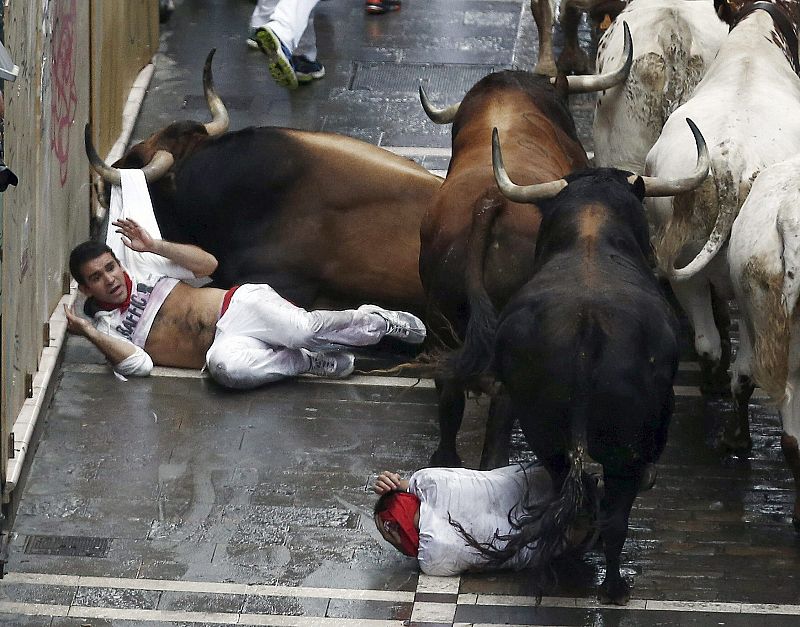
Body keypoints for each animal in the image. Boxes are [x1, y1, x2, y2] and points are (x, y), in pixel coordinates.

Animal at [648, 0, 800, 454]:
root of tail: (730, 165)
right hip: (754, 301)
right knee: (746, 369)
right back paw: (737, 437)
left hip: (684, 264)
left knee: (709, 344)